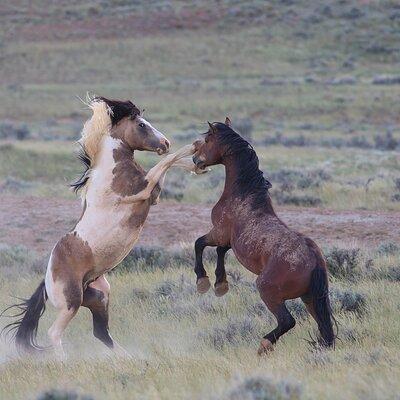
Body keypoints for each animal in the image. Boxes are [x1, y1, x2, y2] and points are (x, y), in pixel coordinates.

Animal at [1, 97, 198, 356]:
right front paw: (194, 147)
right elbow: (167, 161)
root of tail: (46, 279)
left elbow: (170, 163)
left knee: (102, 333)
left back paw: (128, 358)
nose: (165, 143)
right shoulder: (142, 188)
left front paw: (198, 164)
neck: (110, 170)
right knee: (55, 333)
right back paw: (66, 361)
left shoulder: (152, 194)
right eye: (141, 124)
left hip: (99, 298)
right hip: (71, 303)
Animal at [192, 119, 336, 354]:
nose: (196, 159)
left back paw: (264, 345)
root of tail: (314, 260)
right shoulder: (230, 241)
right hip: (311, 299)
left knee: (288, 321)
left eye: (207, 140)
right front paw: (221, 284)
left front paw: (203, 281)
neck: (244, 196)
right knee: (323, 327)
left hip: (268, 291)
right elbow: (220, 251)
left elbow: (200, 244)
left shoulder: (219, 232)